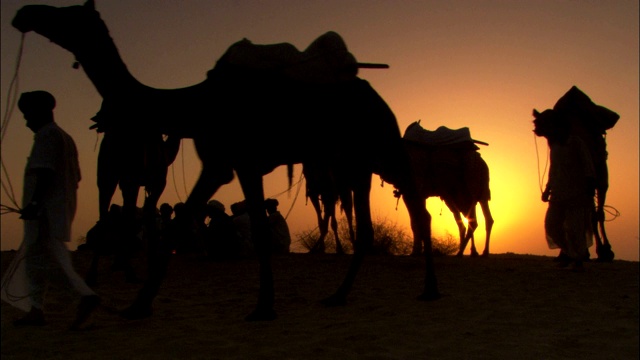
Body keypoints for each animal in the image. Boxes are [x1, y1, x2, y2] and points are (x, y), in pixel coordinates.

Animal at [12, 0, 438, 320]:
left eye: (68, 13)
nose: (25, 12)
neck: (193, 104)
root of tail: (378, 97)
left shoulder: (242, 160)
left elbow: (258, 231)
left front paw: (263, 307)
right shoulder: (220, 163)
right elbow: (181, 222)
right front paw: (138, 305)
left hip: (384, 147)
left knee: (419, 209)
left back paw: (430, 290)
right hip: (354, 161)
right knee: (368, 225)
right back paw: (339, 295)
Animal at [400, 122, 496, 258]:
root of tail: (482, 162)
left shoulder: (411, 191)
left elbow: (416, 221)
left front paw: (415, 252)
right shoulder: (418, 194)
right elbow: (419, 220)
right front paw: (418, 251)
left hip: (469, 189)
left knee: (473, 220)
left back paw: (463, 252)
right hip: (470, 193)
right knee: (481, 219)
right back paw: (480, 252)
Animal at [532, 86, 616, 262]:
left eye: (549, 118)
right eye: (538, 119)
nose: (536, 126)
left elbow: (592, 215)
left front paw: (602, 251)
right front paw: (566, 254)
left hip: (601, 176)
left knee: (598, 212)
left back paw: (604, 250)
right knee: (589, 213)